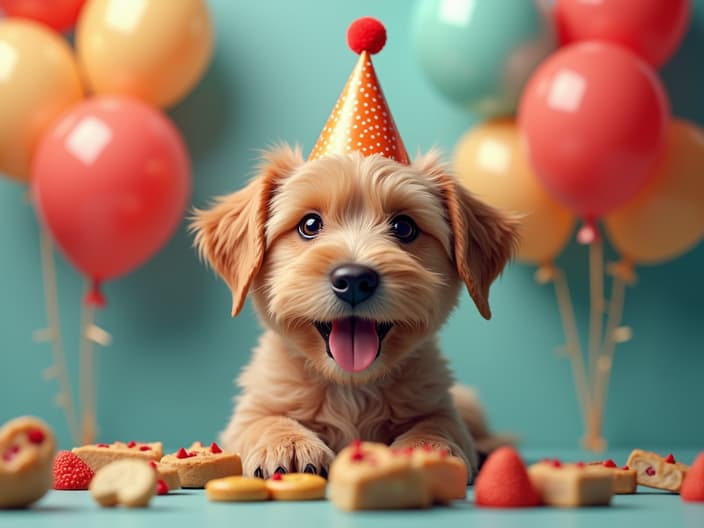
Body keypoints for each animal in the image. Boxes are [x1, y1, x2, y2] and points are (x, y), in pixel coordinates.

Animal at [191, 143, 516, 478]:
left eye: (404, 227)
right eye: (309, 225)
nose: (355, 280)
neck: (351, 387)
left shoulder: (440, 401)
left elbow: (440, 423)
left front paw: (427, 448)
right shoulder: (252, 408)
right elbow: (262, 419)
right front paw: (288, 442)